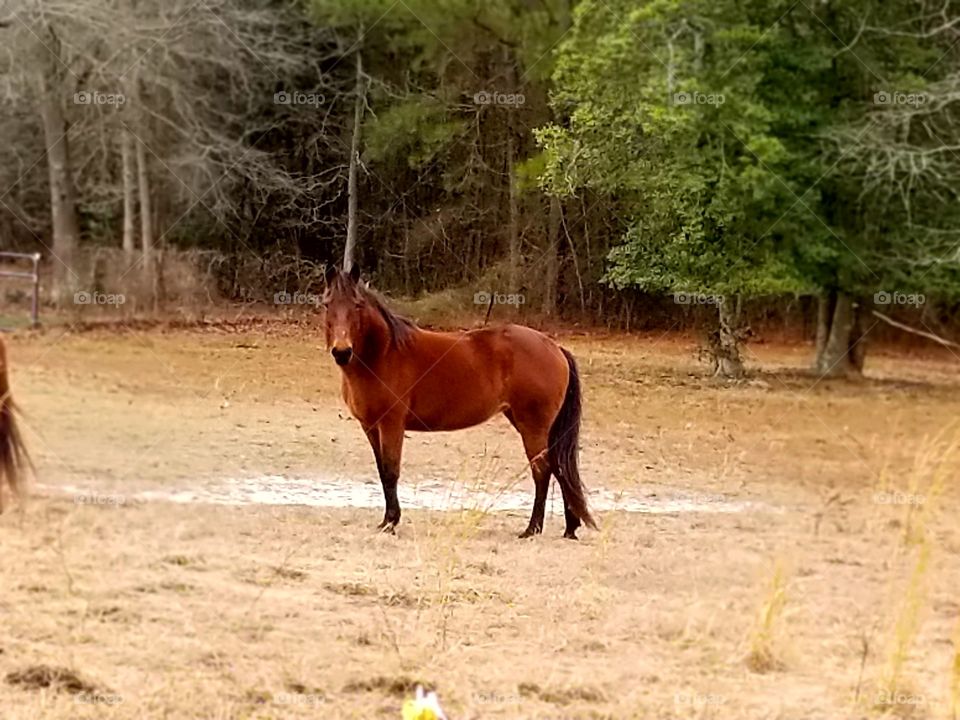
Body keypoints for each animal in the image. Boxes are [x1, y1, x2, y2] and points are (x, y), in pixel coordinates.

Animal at [322, 265, 597, 539]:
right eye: (327, 304)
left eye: (357, 305)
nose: (342, 352)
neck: (383, 354)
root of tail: (556, 347)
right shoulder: (370, 426)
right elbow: (382, 471)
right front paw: (387, 520)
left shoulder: (392, 424)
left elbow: (391, 471)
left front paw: (391, 522)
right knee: (560, 469)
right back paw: (570, 528)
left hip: (533, 426)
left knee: (542, 470)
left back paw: (532, 529)